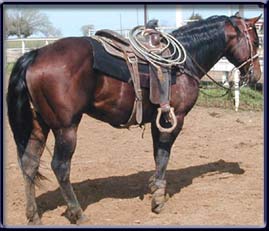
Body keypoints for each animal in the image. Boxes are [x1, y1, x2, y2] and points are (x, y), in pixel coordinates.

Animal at [6, 13, 260, 225]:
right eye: (256, 41)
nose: (256, 75)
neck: (184, 61)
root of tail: (35, 54)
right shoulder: (175, 118)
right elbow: (164, 155)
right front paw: (158, 200)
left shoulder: (159, 119)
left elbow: (158, 155)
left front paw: (155, 188)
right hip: (66, 127)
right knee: (60, 166)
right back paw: (77, 213)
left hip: (39, 125)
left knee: (29, 164)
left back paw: (33, 215)